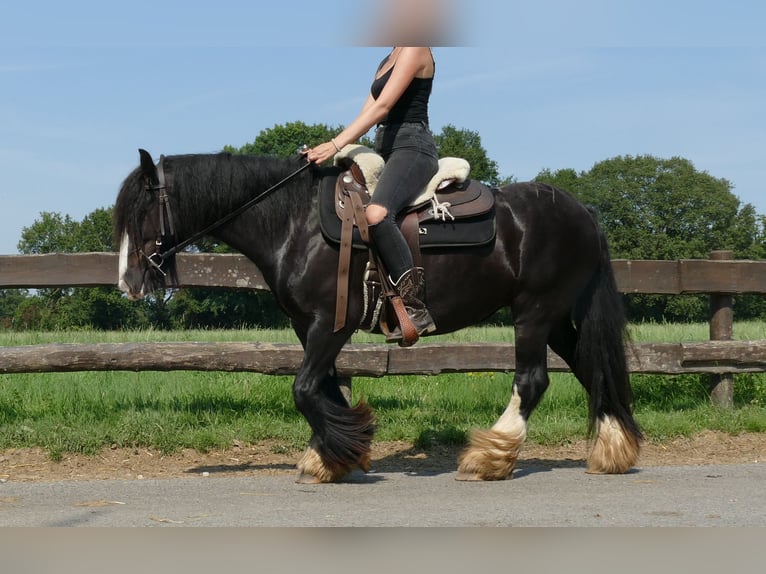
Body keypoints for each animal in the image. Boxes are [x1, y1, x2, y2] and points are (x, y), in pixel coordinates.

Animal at [114, 151, 640, 484]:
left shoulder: (331, 324)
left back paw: (490, 457)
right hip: (556, 319)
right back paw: (613, 449)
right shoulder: (307, 327)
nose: (127, 282)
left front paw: (338, 453)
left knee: (531, 381)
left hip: (534, 312)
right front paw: (333, 455)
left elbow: (304, 388)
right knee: (591, 367)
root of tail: (583, 210)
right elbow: (323, 387)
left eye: (141, 212)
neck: (295, 224)